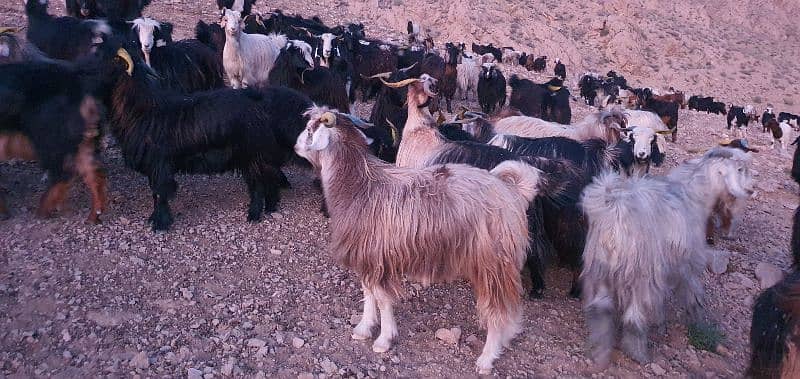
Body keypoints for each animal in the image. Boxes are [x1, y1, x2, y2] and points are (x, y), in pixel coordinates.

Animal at [103, 47, 310, 232]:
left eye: (109, 60)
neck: (142, 110)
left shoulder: (160, 166)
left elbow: (160, 194)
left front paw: (160, 224)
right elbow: (156, 194)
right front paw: (155, 220)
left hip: (252, 155)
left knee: (259, 184)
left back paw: (254, 214)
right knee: (268, 179)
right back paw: (270, 207)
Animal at [294, 106, 544, 374]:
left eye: (310, 129)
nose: (295, 146)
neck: (360, 186)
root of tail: (513, 192)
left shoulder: (378, 258)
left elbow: (383, 299)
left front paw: (384, 339)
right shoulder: (366, 256)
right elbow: (368, 293)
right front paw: (364, 328)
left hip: (493, 264)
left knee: (497, 311)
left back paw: (487, 359)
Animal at [580, 147, 752, 370]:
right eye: (740, 169)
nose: (751, 190)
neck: (693, 194)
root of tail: (614, 212)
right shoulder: (685, 263)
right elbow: (692, 292)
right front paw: (696, 320)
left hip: (600, 269)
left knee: (600, 310)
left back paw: (600, 352)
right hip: (639, 276)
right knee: (633, 317)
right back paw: (638, 353)